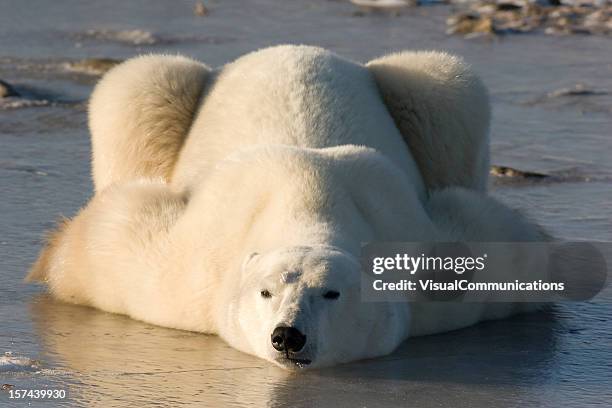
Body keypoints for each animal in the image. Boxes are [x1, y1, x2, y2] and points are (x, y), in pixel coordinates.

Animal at [28, 45, 544, 370]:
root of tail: (290, 48)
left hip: (426, 98)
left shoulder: (435, 268)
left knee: (447, 94)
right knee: (139, 87)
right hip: (153, 100)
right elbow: (97, 243)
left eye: (332, 293)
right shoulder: (174, 273)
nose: (288, 336)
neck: (309, 202)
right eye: (265, 291)